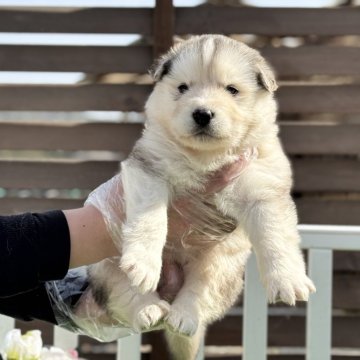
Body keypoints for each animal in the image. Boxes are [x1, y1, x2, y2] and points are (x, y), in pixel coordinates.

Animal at [87, 34, 316, 360]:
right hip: (104, 265)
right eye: (183, 88)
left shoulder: (264, 187)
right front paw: (144, 261)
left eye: (232, 90)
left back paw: (183, 317)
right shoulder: (149, 169)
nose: (203, 113)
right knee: (123, 291)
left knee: (200, 292)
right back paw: (149, 308)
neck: (206, 158)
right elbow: (151, 218)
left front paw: (288, 280)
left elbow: (275, 235)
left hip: (220, 266)